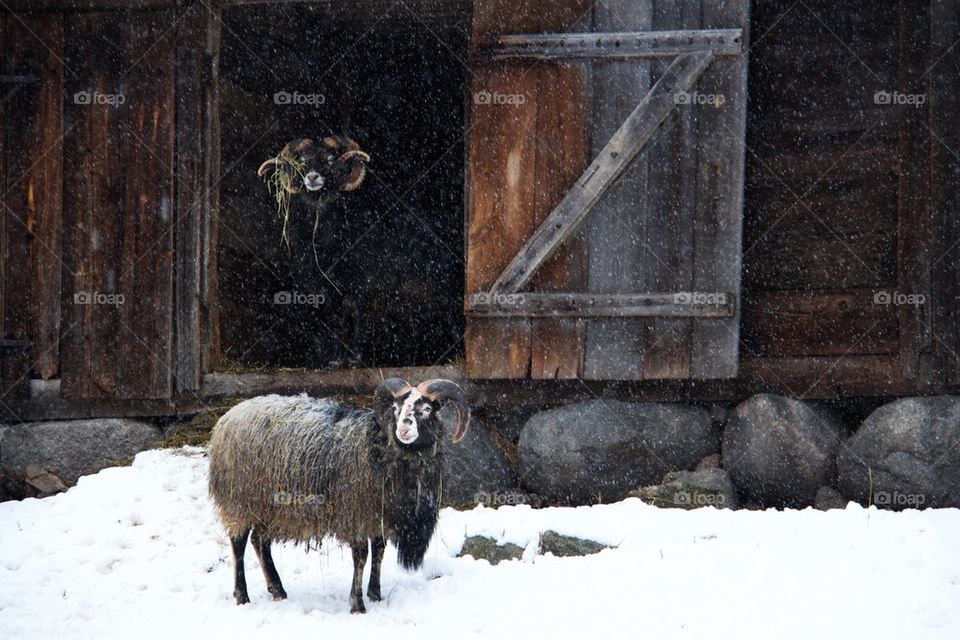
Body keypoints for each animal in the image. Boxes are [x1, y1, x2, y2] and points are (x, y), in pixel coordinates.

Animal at [207, 377, 470, 613]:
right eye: (396, 409)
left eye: (426, 410)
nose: (403, 429)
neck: (379, 448)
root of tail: (228, 417)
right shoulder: (356, 512)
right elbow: (361, 556)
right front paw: (357, 604)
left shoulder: (379, 514)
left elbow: (379, 551)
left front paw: (375, 594)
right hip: (239, 500)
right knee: (239, 543)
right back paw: (242, 596)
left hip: (266, 505)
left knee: (259, 541)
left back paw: (278, 590)